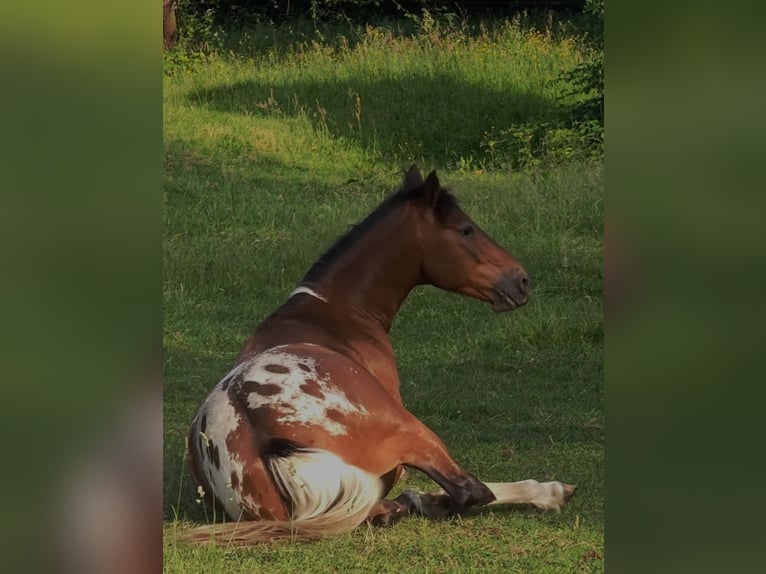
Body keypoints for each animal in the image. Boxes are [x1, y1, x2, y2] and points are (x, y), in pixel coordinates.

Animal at [183, 165, 575, 544]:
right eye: (465, 230)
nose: (520, 280)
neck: (333, 312)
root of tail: (260, 433)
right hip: (414, 432)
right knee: (470, 491)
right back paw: (546, 492)